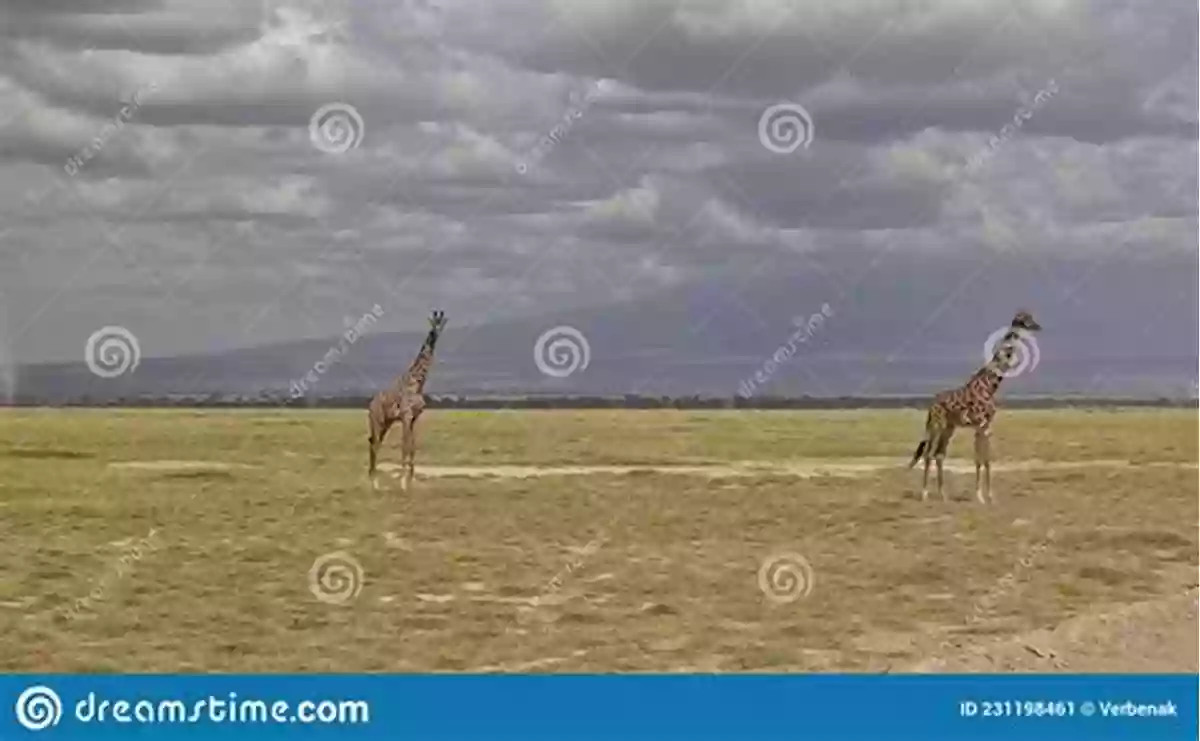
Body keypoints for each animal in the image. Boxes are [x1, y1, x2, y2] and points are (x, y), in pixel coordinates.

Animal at [362, 306, 448, 486]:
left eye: (441, 323)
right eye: (432, 323)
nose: (434, 334)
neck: (417, 382)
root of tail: (370, 405)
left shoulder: (414, 418)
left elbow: (412, 446)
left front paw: (411, 478)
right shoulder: (406, 415)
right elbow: (405, 445)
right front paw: (403, 480)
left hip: (386, 422)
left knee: (373, 442)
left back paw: (372, 477)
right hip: (377, 420)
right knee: (375, 443)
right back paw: (375, 481)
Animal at [907, 309, 1041, 505]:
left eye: (1031, 318)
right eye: (1025, 319)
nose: (1038, 326)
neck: (990, 386)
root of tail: (931, 407)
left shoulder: (985, 426)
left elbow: (985, 459)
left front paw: (989, 496)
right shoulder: (981, 425)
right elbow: (980, 459)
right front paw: (980, 497)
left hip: (949, 428)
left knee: (939, 454)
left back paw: (943, 495)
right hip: (937, 426)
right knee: (928, 454)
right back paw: (925, 495)